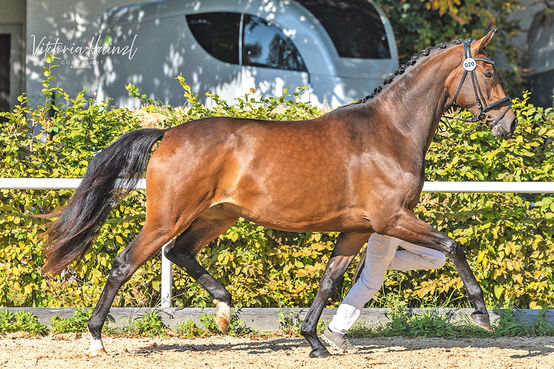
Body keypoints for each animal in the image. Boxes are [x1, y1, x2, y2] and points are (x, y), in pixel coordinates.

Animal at [42, 30, 512, 358]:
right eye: (489, 72)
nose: (507, 122)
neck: (389, 132)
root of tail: (169, 133)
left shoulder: (358, 229)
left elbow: (329, 280)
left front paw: (315, 341)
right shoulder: (392, 219)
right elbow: (453, 246)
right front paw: (482, 313)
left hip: (218, 215)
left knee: (179, 252)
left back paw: (224, 311)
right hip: (168, 217)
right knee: (125, 263)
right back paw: (97, 340)